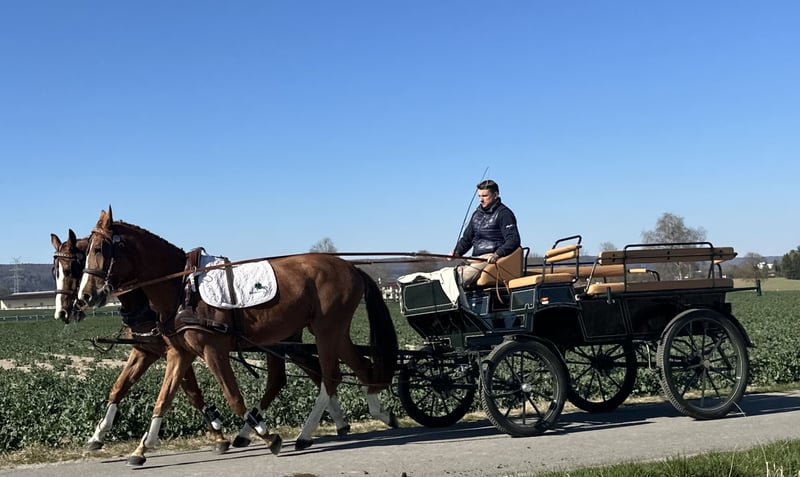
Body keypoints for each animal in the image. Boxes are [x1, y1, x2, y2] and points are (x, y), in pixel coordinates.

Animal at [76, 208, 398, 466]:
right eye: (85, 251)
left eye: (100, 248)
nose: (84, 297)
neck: (182, 287)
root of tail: (350, 266)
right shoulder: (179, 353)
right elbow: (162, 398)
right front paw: (141, 448)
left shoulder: (212, 351)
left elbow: (232, 396)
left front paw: (267, 436)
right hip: (325, 334)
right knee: (356, 368)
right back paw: (379, 413)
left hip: (325, 331)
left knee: (330, 378)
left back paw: (306, 432)